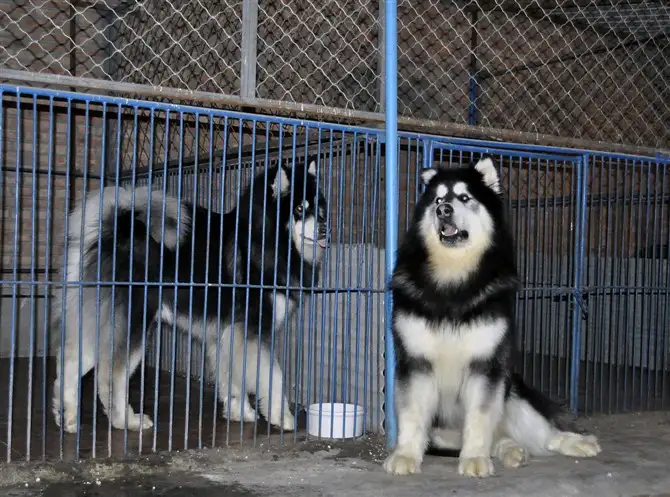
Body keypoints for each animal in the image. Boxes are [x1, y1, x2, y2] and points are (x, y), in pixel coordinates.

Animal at [51, 160, 330, 434]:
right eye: (299, 208)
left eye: (320, 209)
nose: (326, 228)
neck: (263, 241)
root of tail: (116, 225)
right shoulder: (252, 332)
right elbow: (273, 377)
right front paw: (283, 417)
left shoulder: (228, 336)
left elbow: (233, 380)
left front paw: (240, 412)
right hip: (131, 323)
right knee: (111, 374)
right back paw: (126, 421)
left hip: (95, 319)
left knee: (71, 361)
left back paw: (68, 416)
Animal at [386, 158, 600, 476]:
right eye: (437, 199)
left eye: (464, 198)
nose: (443, 210)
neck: (453, 277)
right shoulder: (416, 362)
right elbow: (412, 415)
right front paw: (406, 455)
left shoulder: (486, 364)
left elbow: (480, 417)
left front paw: (474, 457)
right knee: (502, 437)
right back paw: (510, 450)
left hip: (513, 390)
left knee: (544, 434)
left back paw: (575, 442)